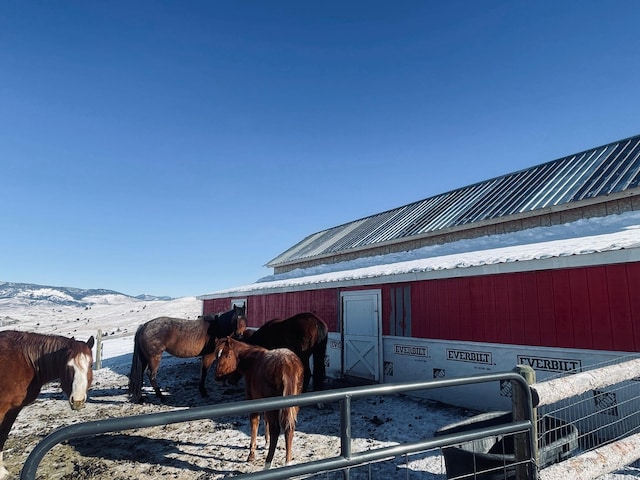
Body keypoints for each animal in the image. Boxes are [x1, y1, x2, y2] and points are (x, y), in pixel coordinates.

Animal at [0, 330, 95, 480]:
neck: (25, 362)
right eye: (68, 366)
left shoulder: (12, 410)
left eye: (91, 365)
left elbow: (2, 436)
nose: (77, 401)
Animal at [214, 336, 304, 466]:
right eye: (216, 356)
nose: (217, 377)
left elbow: (255, 422)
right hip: (293, 406)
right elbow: (265, 420)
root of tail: (288, 365)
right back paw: (287, 461)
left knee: (276, 429)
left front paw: (251, 454)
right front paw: (266, 443)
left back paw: (268, 462)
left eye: (227, 355)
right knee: (289, 429)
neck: (252, 362)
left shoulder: (253, 400)